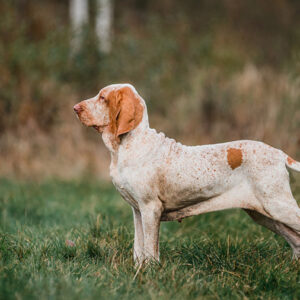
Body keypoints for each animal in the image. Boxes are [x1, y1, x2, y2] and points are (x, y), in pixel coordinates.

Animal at [74, 83, 300, 264]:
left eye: (103, 97)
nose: (75, 108)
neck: (127, 146)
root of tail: (279, 154)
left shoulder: (150, 208)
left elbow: (150, 248)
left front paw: (150, 272)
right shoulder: (137, 210)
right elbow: (138, 247)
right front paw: (138, 270)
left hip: (277, 206)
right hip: (264, 214)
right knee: (296, 240)